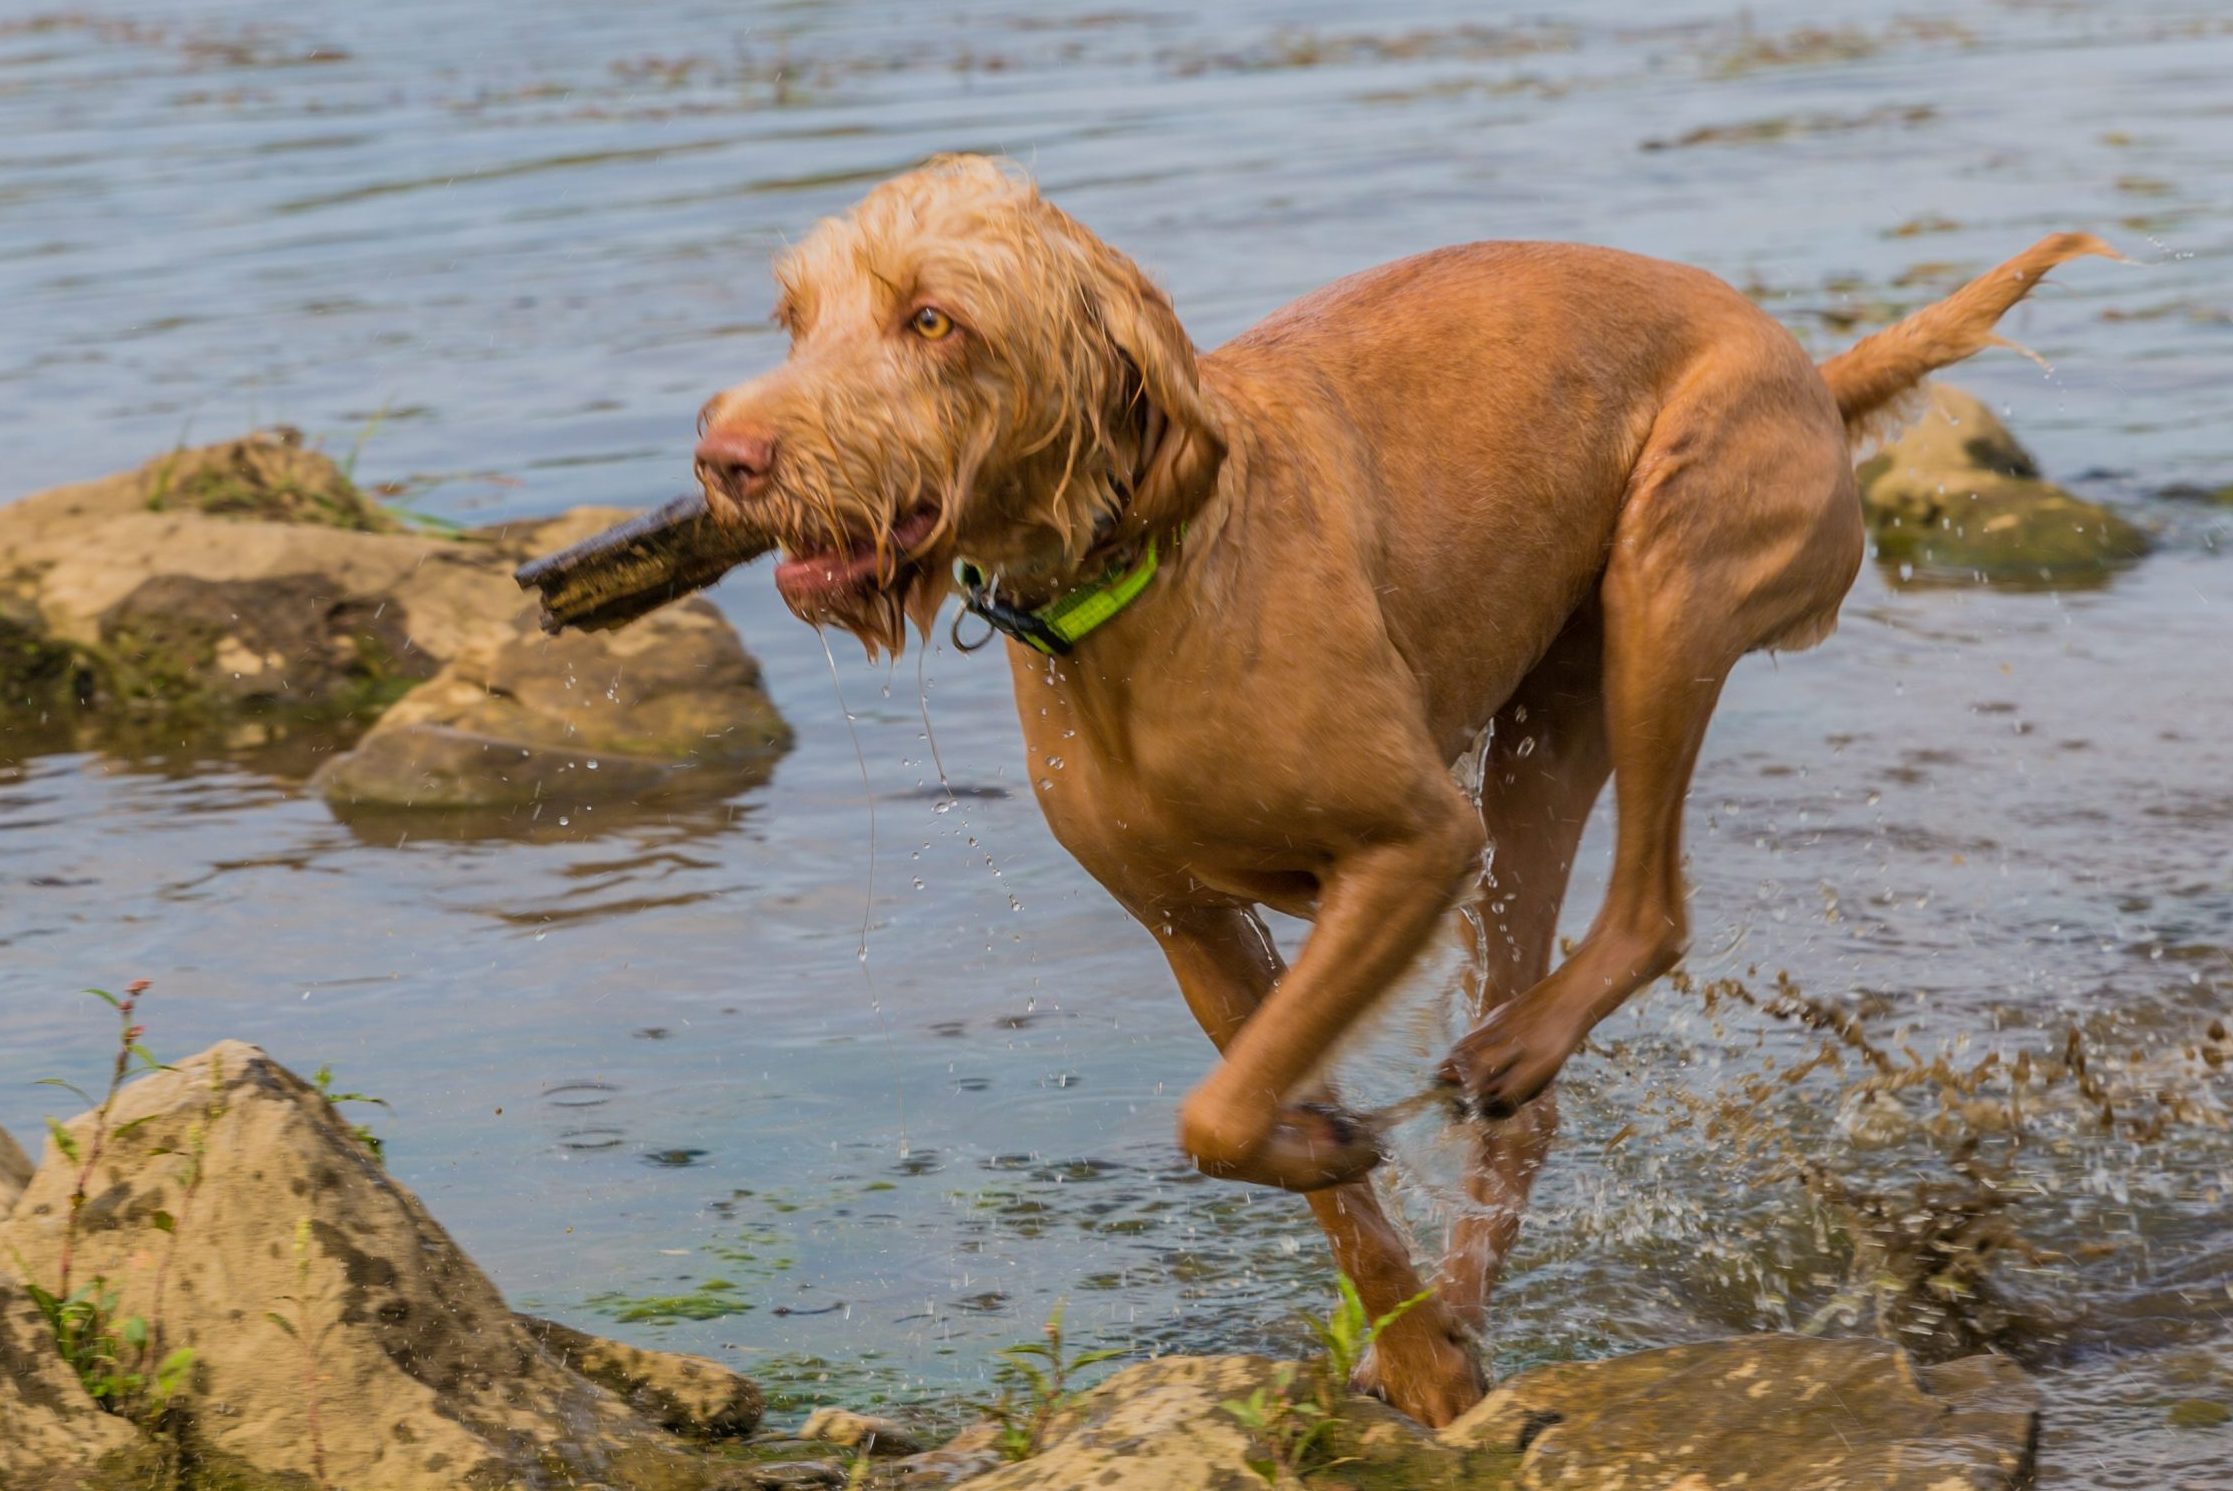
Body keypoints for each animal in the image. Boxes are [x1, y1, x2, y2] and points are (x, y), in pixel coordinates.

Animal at [692, 157, 2107, 1428]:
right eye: (793, 318)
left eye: (934, 320)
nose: (726, 458)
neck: (1140, 586)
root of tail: (1810, 367)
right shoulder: (1191, 926)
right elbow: (1264, 1138)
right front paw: (1413, 1337)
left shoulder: (1414, 846)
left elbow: (1217, 1114)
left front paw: (1340, 1163)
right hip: (1544, 735)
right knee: (1532, 1088)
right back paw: (1478, 1250)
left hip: (1667, 585)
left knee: (1650, 910)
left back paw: (1515, 1050)